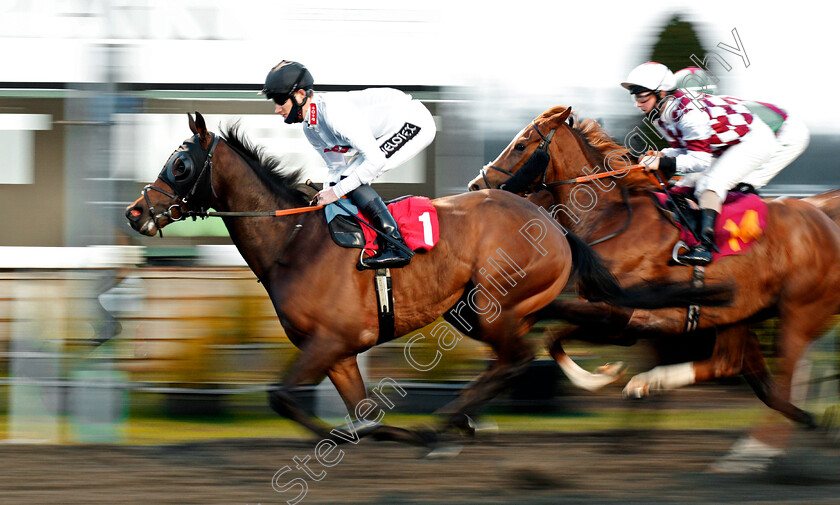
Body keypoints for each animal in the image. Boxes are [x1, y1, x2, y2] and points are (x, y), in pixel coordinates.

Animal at [123, 111, 728, 444]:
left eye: (179, 163)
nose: (135, 212)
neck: (294, 241)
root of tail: (553, 225)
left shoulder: (328, 341)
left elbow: (285, 400)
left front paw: (408, 434)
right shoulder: (339, 352)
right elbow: (361, 416)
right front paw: (387, 434)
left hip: (492, 306)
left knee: (518, 359)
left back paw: (447, 425)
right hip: (495, 307)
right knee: (571, 330)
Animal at [470, 105, 840, 430]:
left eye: (521, 144)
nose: (476, 185)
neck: (610, 217)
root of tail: (823, 216)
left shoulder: (620, 315)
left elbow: (552, 334)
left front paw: (601, 377)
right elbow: (545, 329)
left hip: (800, 311)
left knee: (775, 374)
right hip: (738, 313)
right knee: (740, 371)